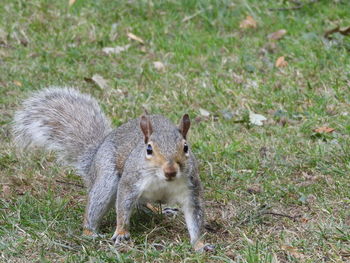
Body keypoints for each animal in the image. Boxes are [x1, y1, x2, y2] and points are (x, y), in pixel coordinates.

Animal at [12, 87, 212, 253]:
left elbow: (195, 216)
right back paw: (90, 232)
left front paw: (200, 244)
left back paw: (161, 211)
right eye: (148, 149)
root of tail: (94, 159)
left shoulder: (191, 188)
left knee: (143, 204)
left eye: (186, 147)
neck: (162, 180)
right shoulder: (130, 181)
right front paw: (122, 232)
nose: (170, 171)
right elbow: (123, 205)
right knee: (97, 206)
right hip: (106, 179)